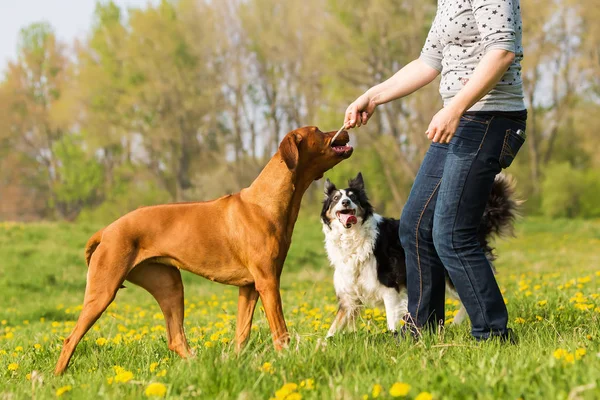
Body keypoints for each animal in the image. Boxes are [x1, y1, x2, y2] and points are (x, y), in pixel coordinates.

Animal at [54, 127, 354, 376]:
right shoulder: (268, 281)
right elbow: (280, 330)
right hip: (104, 290)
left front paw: (235, 363)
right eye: (317, 130)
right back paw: (57, 378)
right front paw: (287, 358)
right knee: (71, 338)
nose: (346, 131)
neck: (266, 202)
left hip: (169, 285)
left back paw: (199, 363)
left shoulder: (249, 287)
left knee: (175, 338)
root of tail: (107, 230)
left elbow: (241, 334)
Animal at [322, 172, 516, 338]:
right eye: (336, 199)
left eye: (353, 197)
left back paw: (459, 324)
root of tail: (479, 224)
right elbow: (332, 329)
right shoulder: (349, 298)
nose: (346, 202)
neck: (352, 237)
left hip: (452, 275)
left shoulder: (390, 290)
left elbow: (391, 323)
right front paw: (322, 347)